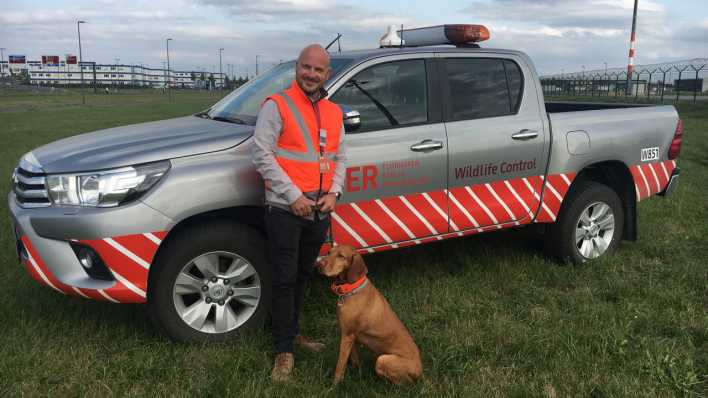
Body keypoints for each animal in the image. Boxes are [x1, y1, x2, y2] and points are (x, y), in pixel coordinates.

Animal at [318, 246, 424, 386]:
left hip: (382, 360)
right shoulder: (352, 337)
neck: (352, 289)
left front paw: (334, 385)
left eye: (341, 256)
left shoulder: (346, 336)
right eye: (329, 252)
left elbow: (340, 365)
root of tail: (420, 371)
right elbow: (355, 359)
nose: (319, 265)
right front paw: (356, 372)